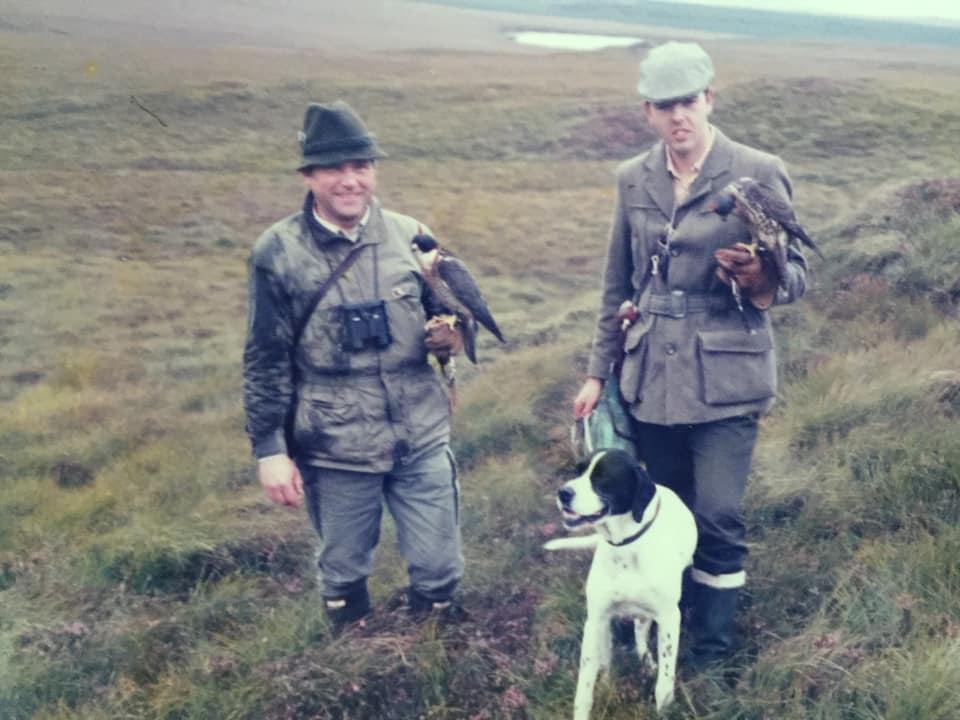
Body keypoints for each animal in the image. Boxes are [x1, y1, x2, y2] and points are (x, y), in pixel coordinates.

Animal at [544, 448, 697, 717]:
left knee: (639, 632)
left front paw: (664, 710)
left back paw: (647, 662)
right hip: (605, 623)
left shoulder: (669, 617)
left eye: (603, 477)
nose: (563, 493)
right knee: (611, 652)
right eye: (578, 470)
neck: (624, 545)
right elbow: (585, 685)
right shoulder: (595, 619)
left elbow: (665, 680)